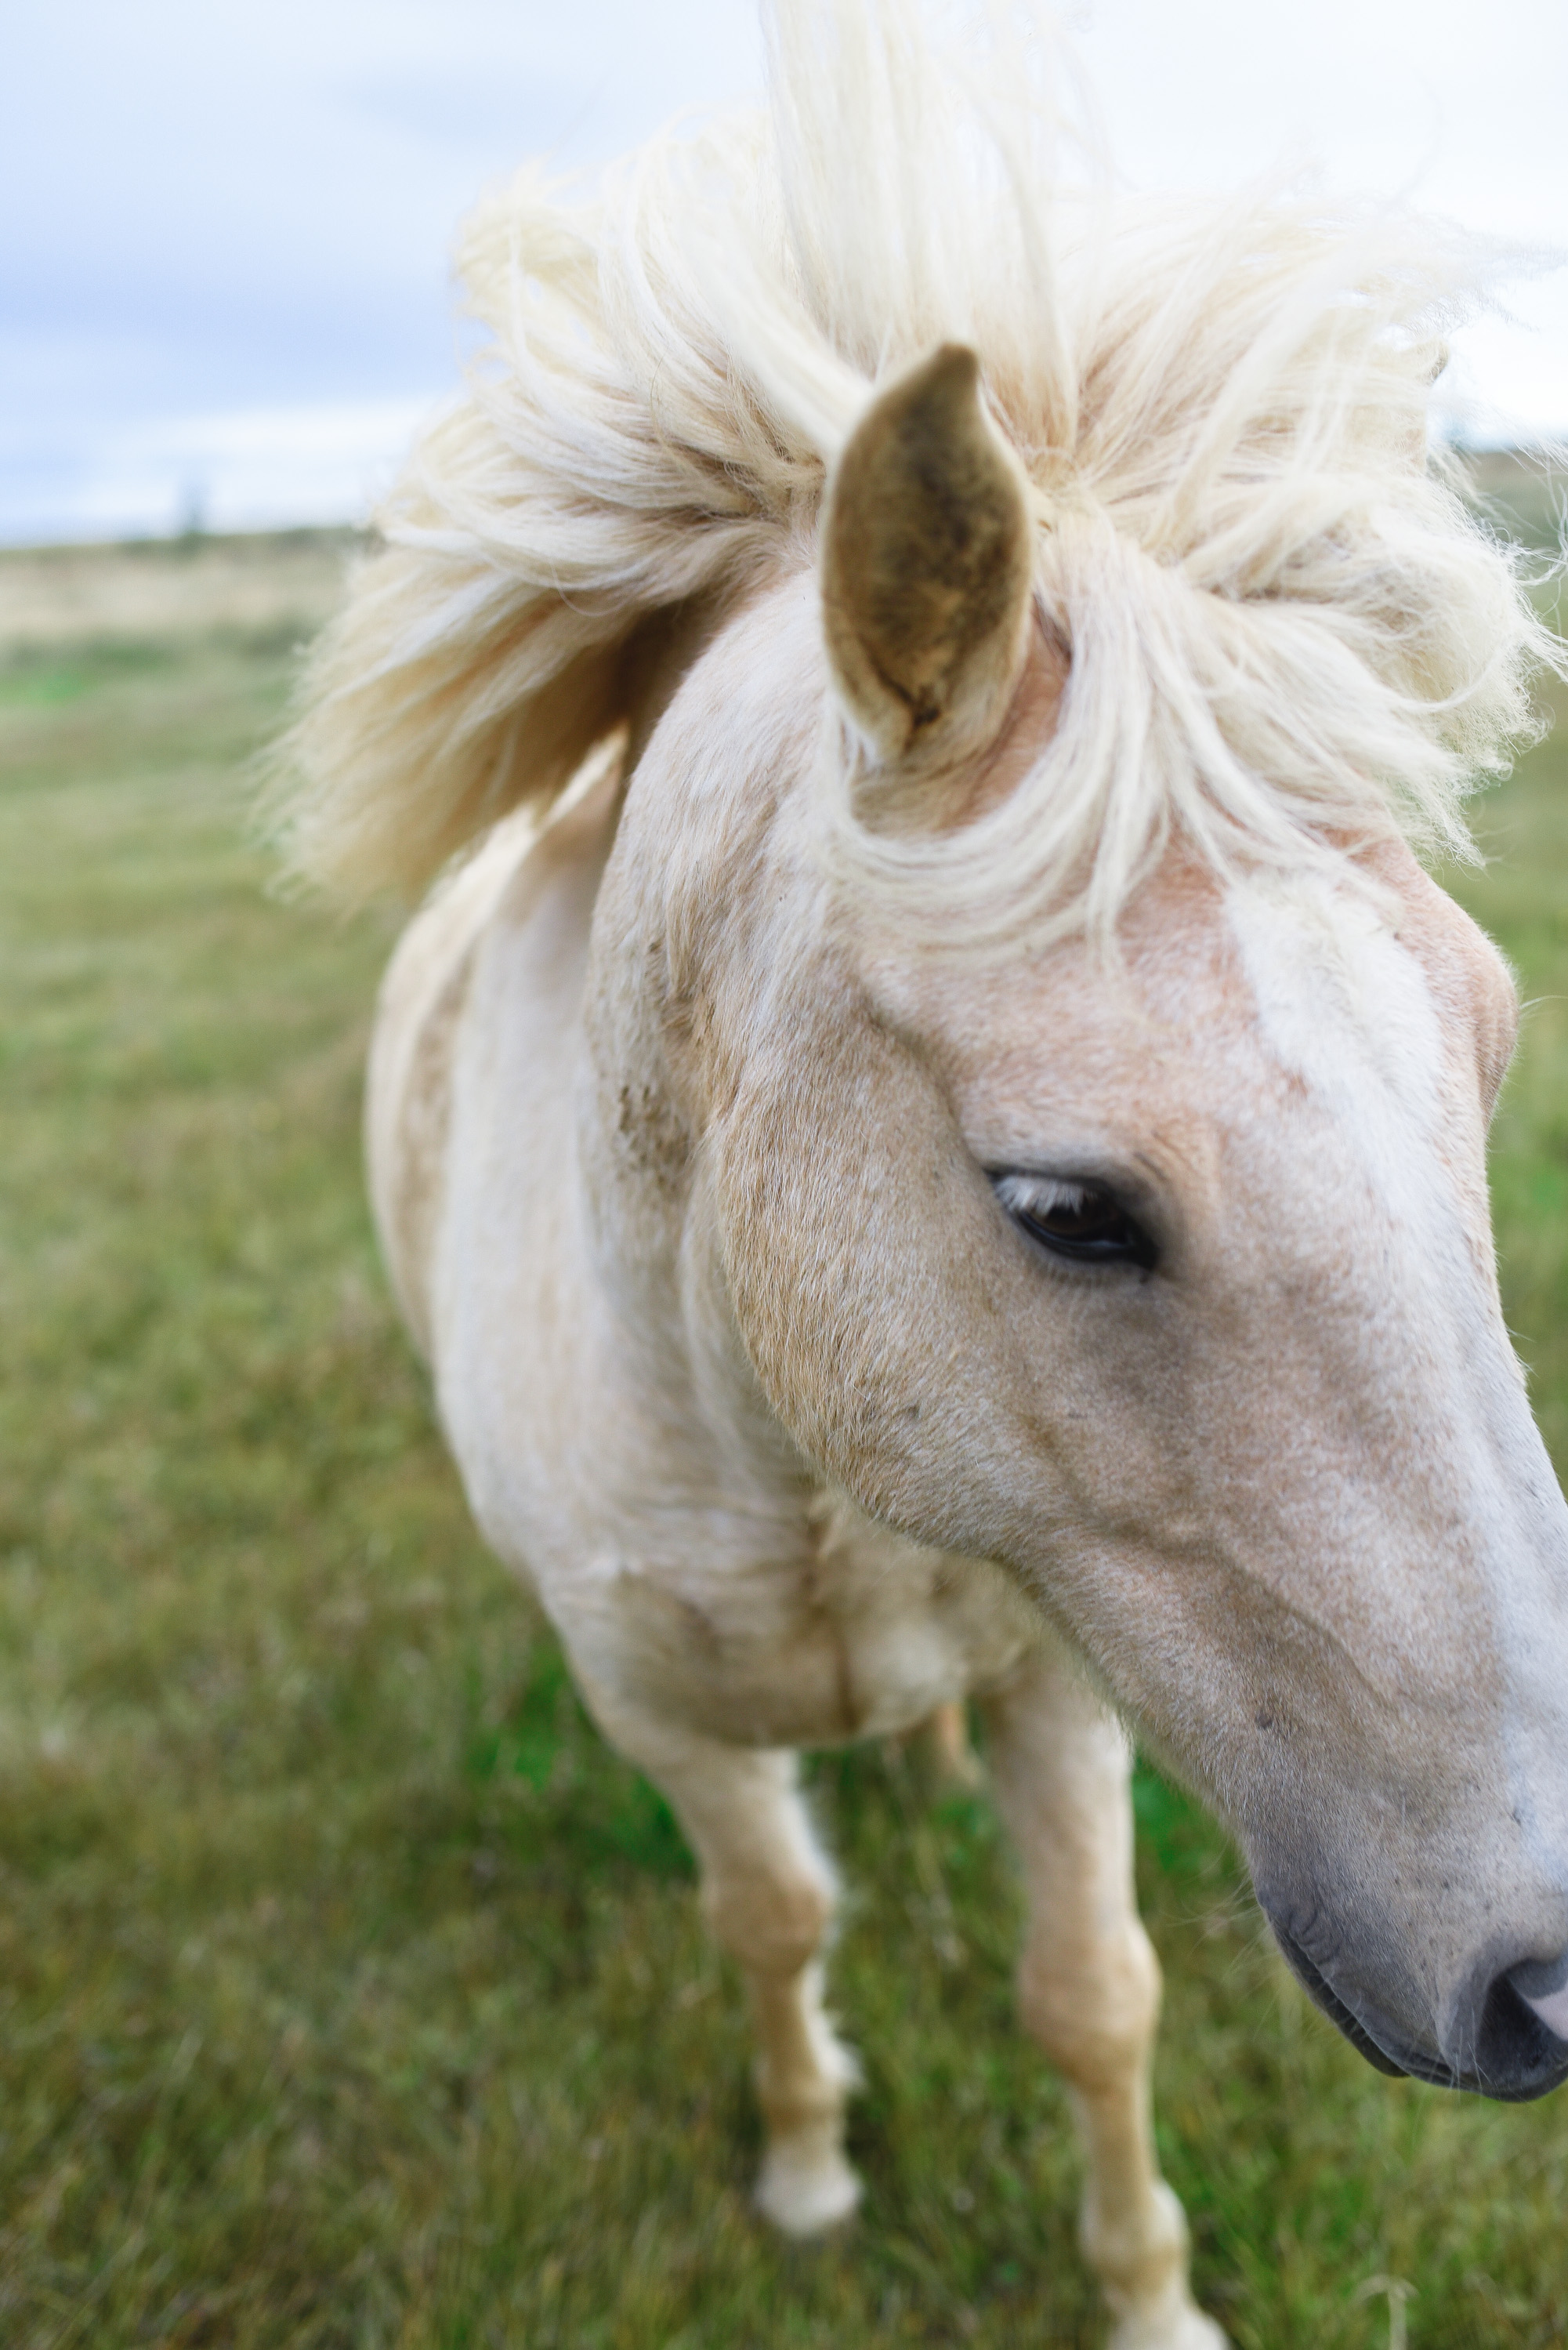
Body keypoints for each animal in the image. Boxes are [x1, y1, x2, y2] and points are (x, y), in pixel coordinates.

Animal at [276, 4, 1568, 2341]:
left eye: (1484, 1049)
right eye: (1061, 1205)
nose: (1548, 1977)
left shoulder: (1069, 1679)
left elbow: (1092, 1996)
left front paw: (1144, 2293)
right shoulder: (663, 1720)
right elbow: (772, 1925)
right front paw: (802, 2171)